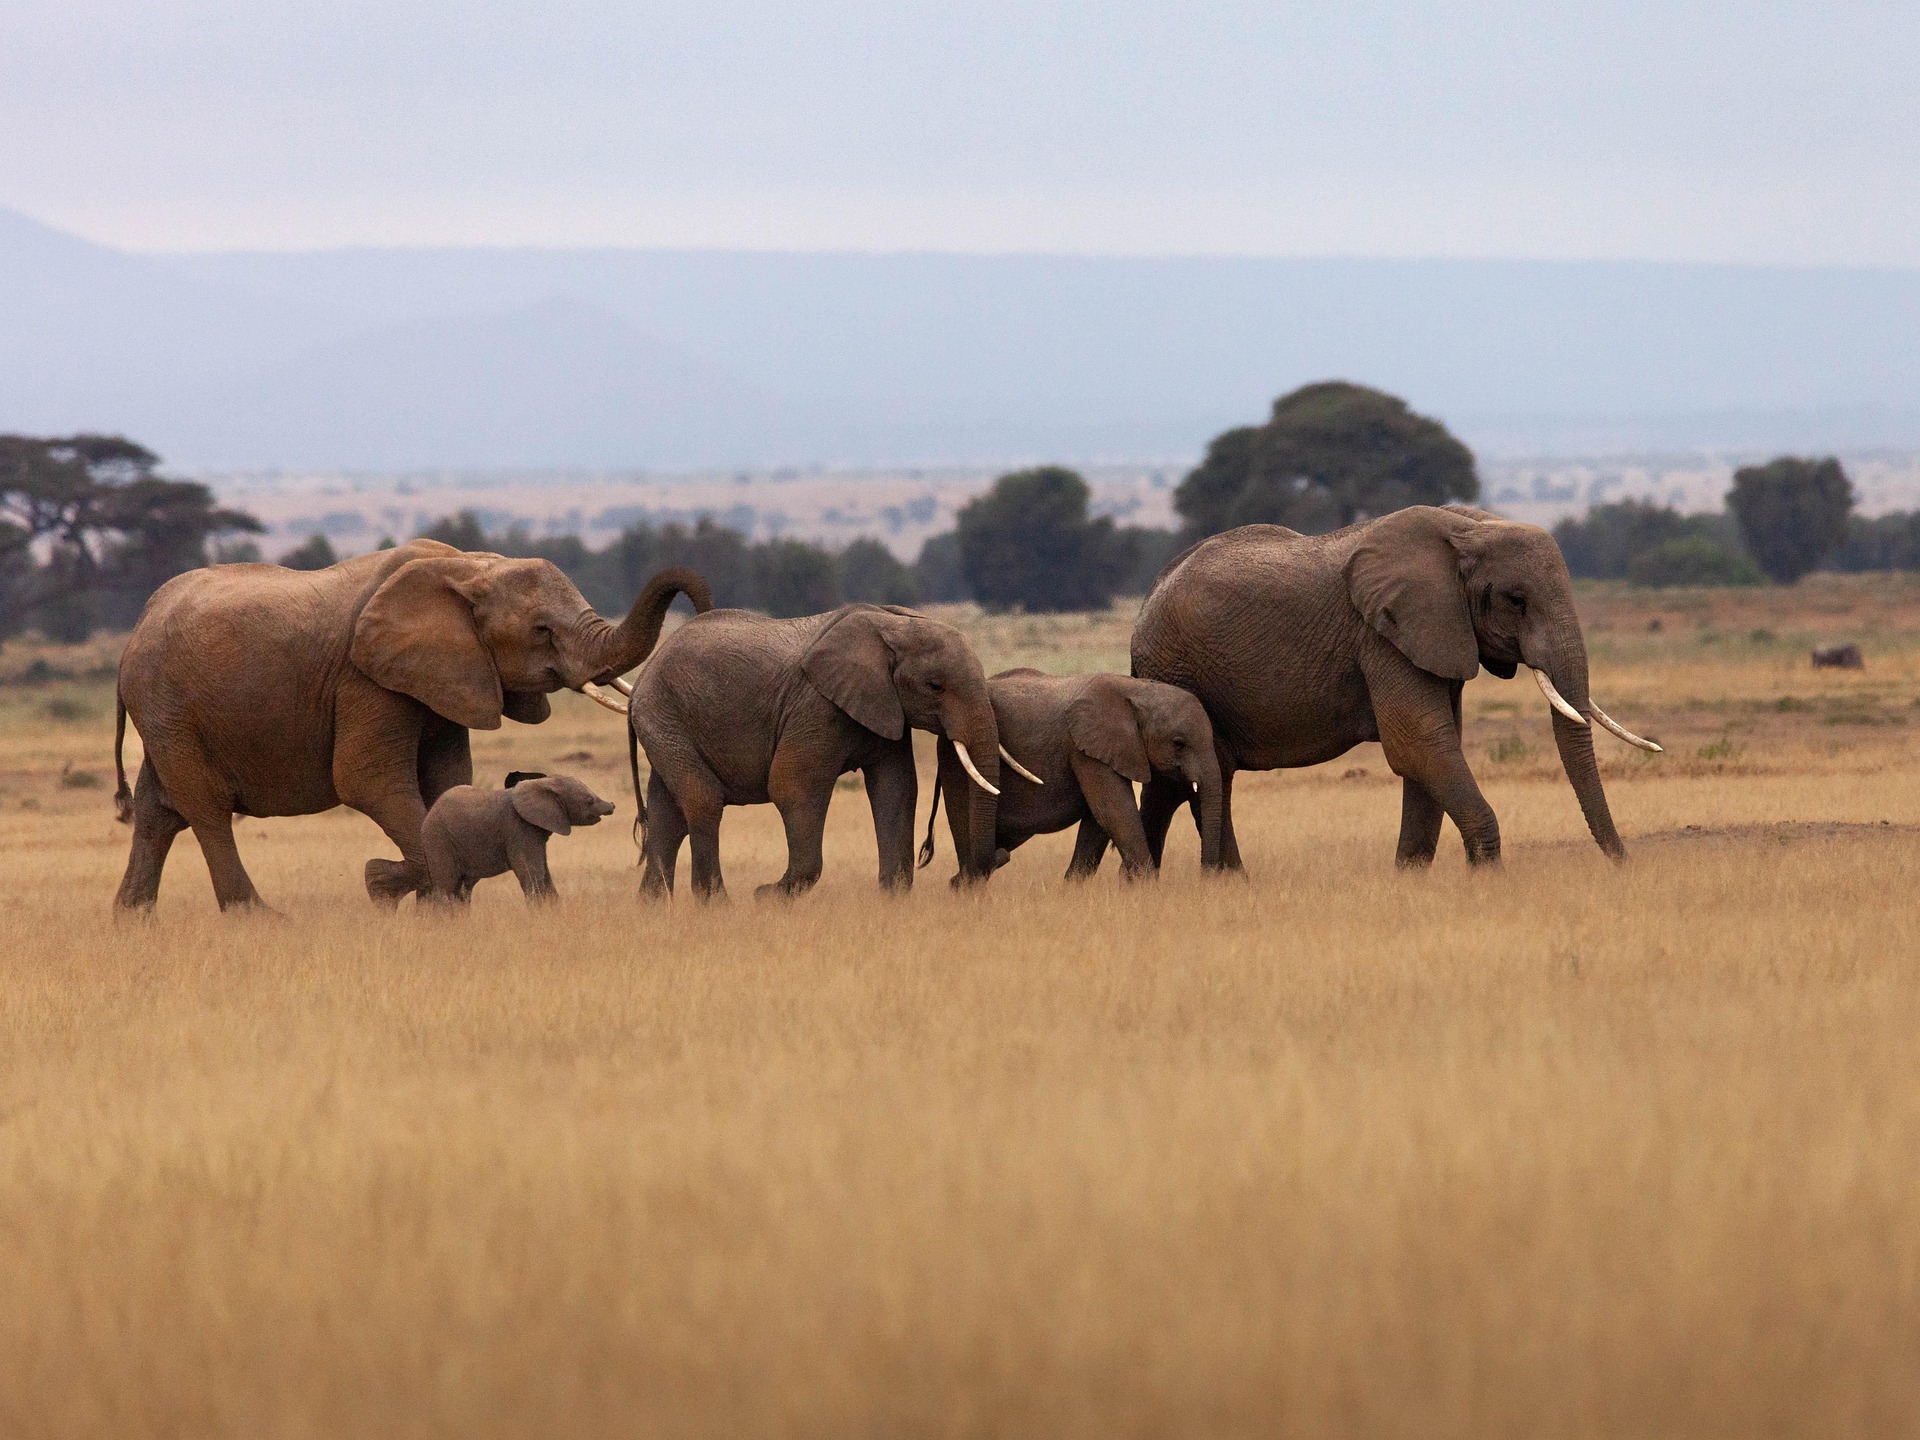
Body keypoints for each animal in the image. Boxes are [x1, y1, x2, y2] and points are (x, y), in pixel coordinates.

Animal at [420, 774, 615, 903]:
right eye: (589, 801)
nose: (612, 805)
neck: (544, 783)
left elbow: (544, 874)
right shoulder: (519, 828)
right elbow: (531, 873)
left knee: (463, 890)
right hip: (438, 839)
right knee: (447, 886)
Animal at [626, 602, 1016, 899]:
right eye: (935, 686)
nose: (999, 855)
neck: (894, 624)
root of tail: (643, 676)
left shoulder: (886, 709)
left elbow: (896, 789)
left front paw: (892, 899)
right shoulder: (816, 705)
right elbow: (792, 786)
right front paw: (767, 896)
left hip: (667, 726)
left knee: (667, 815)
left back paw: (654, 908)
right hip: (664, 718)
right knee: (703, 801)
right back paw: (717, 904)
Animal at [918, 669, 1225, 882]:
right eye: (1178, 743)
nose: (1206, 878)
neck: (1136, 690)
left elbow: (1098, 821)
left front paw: (1073, 889)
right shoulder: (1085, 749)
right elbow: (1114, 812)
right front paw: (1147, 888)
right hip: (954, 759)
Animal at [1130, 506, 1662, 870]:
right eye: (1516, 600)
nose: (1622, 864)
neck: (1466, 528)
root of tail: (1147, 601)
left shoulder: (1435, 635)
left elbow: (1434, 749)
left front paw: (1409, 877)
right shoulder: (1382, 637)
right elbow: (1422, 745)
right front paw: (1486, 875)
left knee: (1186, 783)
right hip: (1177, 667)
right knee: (1202, 779)